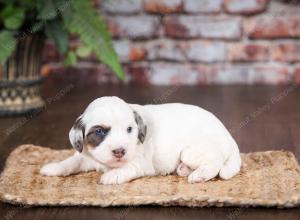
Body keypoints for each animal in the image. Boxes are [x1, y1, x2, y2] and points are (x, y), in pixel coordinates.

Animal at [40, 97, 241, 185]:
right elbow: (71, 161)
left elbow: (127, 168)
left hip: (191, 151)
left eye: (129, 129)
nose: (120, 151)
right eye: (99, 131)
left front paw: (112, 175)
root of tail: (230, 139)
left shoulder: (141, 164)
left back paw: (199, 175)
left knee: (215, 162)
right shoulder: (84, 155)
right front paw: (54, 167)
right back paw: (184, 169)